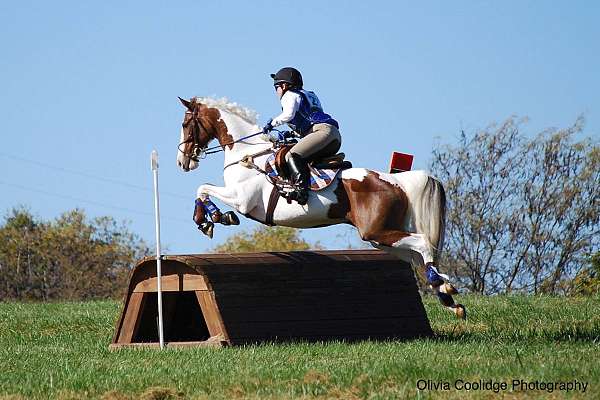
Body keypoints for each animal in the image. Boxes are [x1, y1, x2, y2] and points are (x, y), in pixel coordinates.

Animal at [176, 95, 466, 318]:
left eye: (185, 124)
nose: (182, 161)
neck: (245, 153)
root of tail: (395, 180)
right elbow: (202, 189)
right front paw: (209, 218)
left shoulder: (242, 199)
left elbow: (203, 188)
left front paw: (212, 218)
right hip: (381, 238)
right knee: (418, 256)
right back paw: (448, 297)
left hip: (376, 232)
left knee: (423, 243)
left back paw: (445, 291)